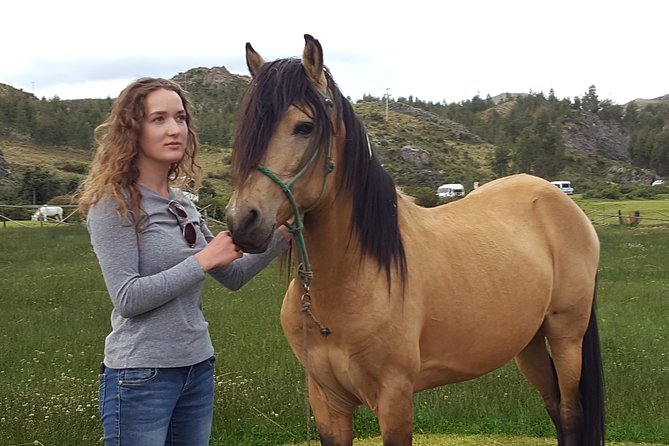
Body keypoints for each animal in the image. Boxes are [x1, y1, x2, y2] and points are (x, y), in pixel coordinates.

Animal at [225, 34, 604, 446]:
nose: (242, 220)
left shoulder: (394, 398)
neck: (351, 280)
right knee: (554, 408)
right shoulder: (327, 401)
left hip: (566, 337)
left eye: (304, 126)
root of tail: (557, 198)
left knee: (570, 413)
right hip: (528, 342)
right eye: (246, 128)